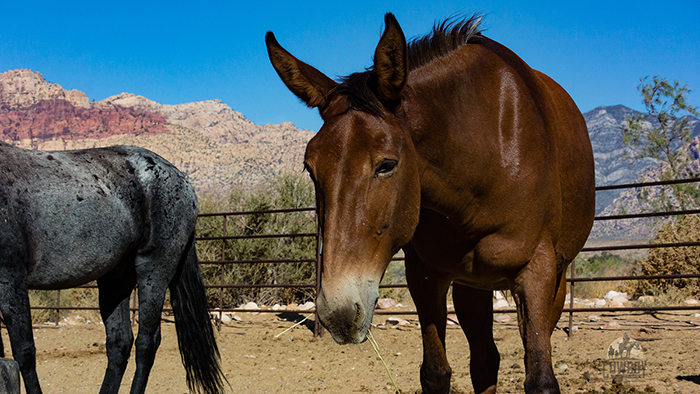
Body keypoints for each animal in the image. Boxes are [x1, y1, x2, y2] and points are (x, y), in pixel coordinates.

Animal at [0, 142, 224, 394]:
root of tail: (183, 180)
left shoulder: (10, 278)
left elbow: (24, 352)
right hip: (115, 281)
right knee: (119, 344)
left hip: (154, 271)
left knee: (147, 342)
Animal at [266, 12, 592, 394]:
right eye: (310, 168)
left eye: (387, 165)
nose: (339, 314)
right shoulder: (425, 276)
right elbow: (435, 373)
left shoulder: (536, 273)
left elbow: (540, 379)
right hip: (472, 286)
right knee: (485, 360)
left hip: (553, 280)